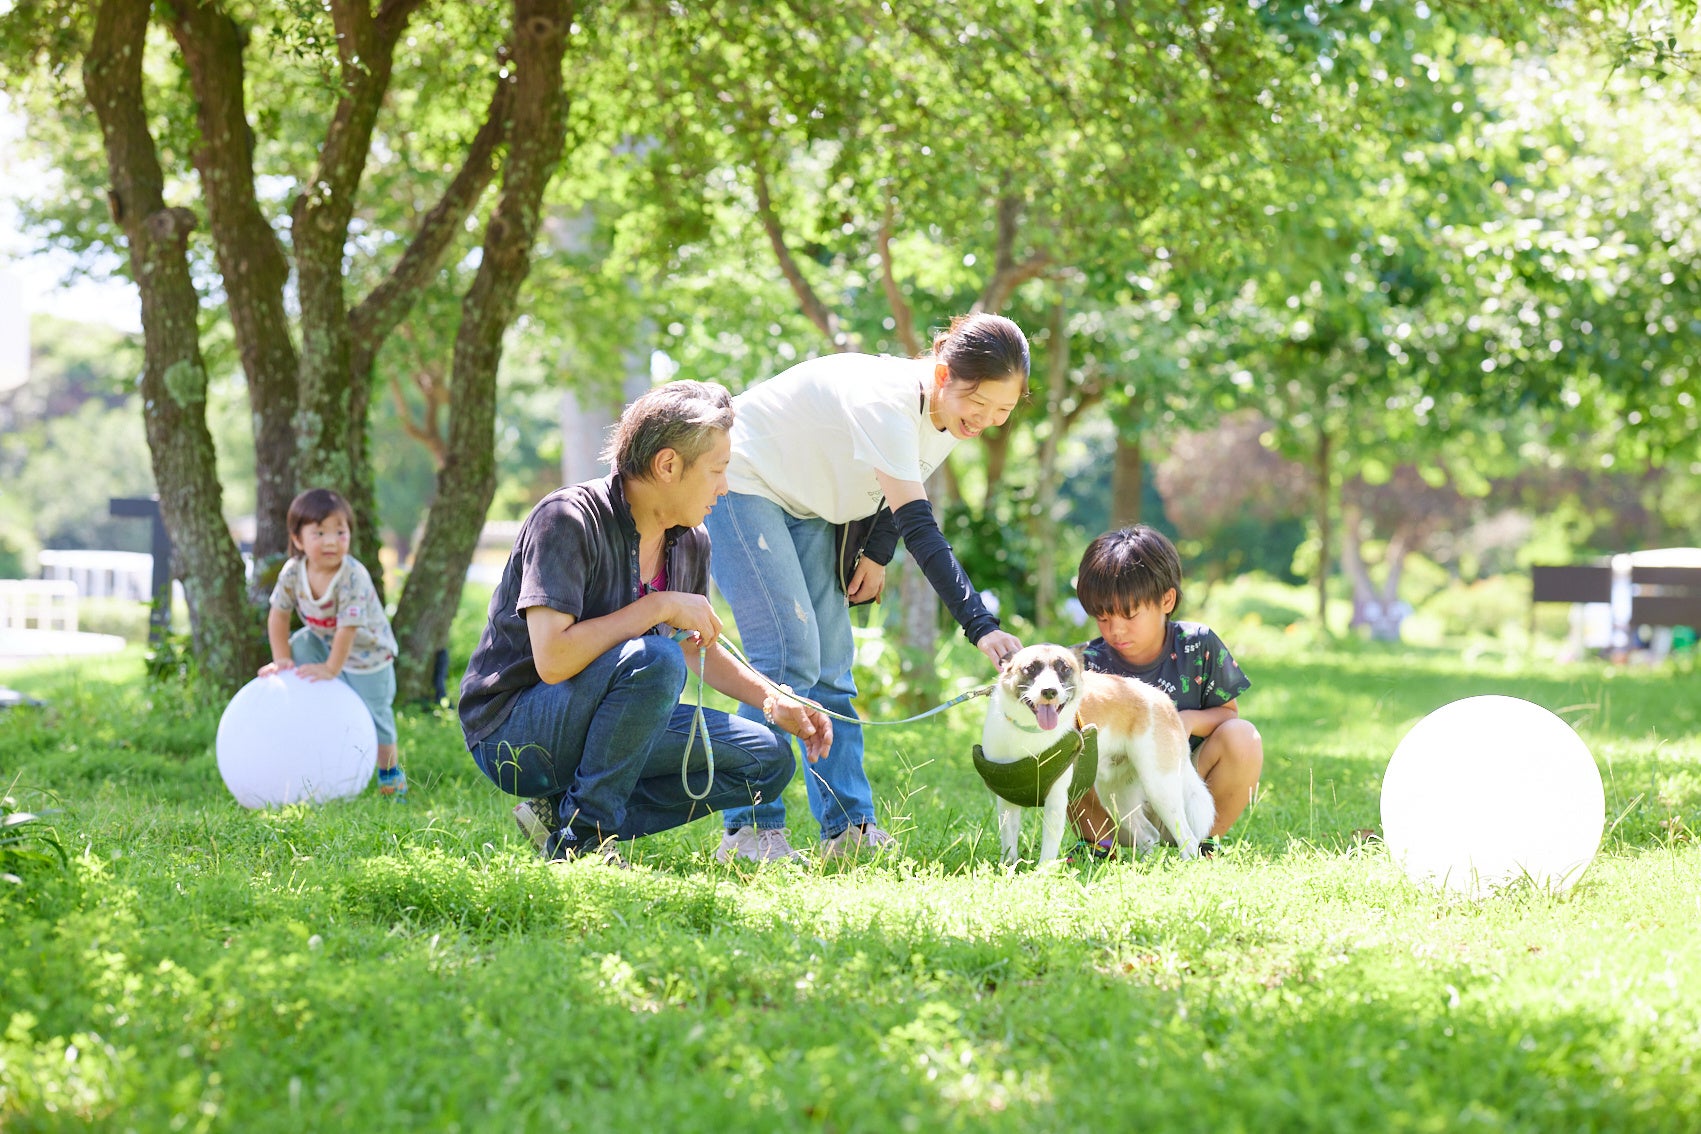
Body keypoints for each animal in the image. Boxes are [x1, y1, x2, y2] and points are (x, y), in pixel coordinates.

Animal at [979, 642, 1217, 863]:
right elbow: (1009, 845)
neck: (1030, 730)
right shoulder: (1007, 799)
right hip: (1117, 796)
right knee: (1149, 834)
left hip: (1160, 788)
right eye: (1030, 668)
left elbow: (1048, 850)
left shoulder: (1056, 800)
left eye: (1064, 668)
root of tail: (1163, 700)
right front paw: (1008, 870)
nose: (1049, 692)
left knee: (1187, 837)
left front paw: (1042, 873)